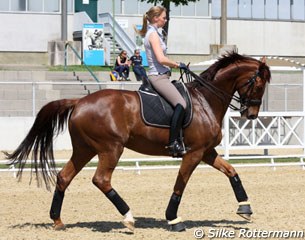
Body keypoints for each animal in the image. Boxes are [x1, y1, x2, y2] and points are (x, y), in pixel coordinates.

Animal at [4, 52, 270, 232]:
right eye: (258, 83)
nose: (251, 114)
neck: (205, 100)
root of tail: (79, 102)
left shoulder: (206, 151)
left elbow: (231, 171)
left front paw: (245, 207)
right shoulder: (193, 153)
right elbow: (180, 184)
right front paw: (173, 218)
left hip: (84, 149)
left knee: (64, 177)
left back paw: (58, 221)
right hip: (111, 148)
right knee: (101, 179)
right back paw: (129, 217)